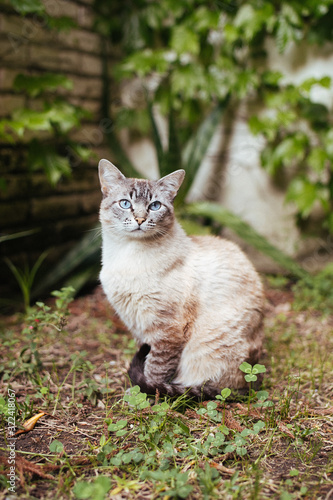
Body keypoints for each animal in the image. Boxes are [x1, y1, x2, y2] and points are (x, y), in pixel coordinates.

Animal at [97, 158, 264, 400]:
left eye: (154, 206)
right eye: (125, 204)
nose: (140, 219)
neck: (127, 256)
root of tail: (251, 387)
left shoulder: (168, 330)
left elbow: (154, 372)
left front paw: (144, 398)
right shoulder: (139, 327)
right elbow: (147, 363)